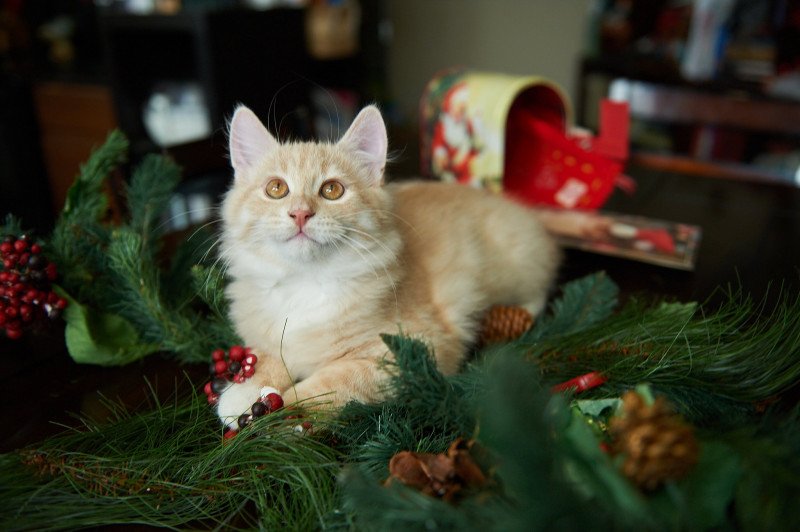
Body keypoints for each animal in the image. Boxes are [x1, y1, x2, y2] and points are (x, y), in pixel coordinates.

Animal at [216, 103, 560, 428]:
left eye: (332, 190)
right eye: (276, 188)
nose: (300, 213)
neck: (306, 281)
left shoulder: (415, 350)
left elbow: (329, 384)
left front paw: (280, 414)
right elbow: (268, 355)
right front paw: (243, 391)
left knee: (538, 291)